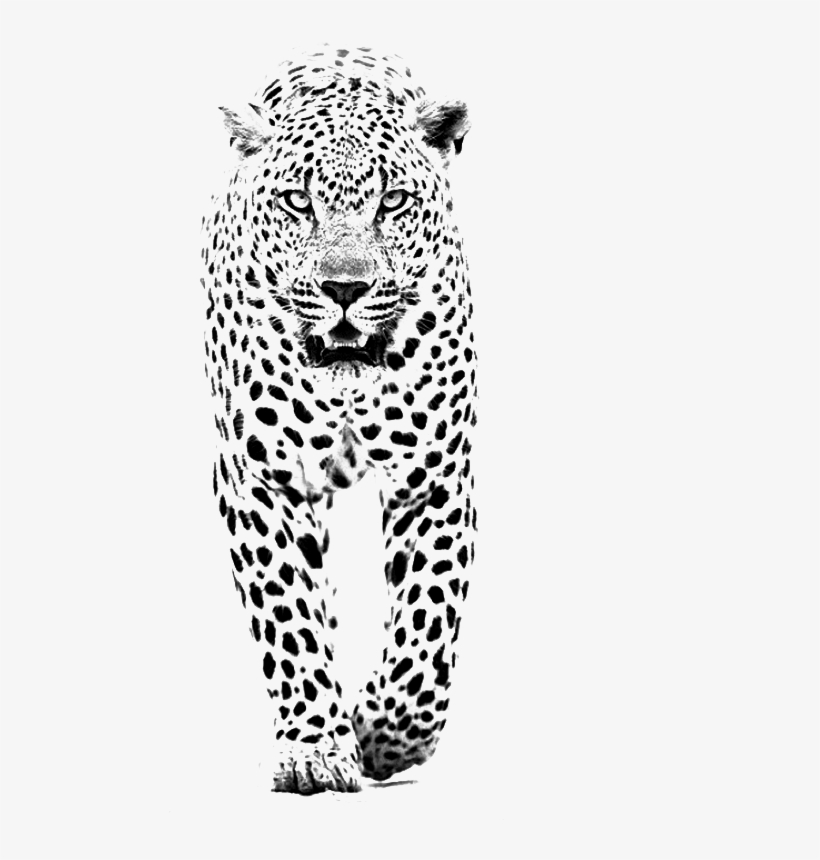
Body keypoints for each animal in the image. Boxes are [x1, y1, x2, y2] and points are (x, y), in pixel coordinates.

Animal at [201, 45, 476, 793]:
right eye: (299, 202)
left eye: (393, 202)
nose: (345, 289)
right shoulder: (261, 479)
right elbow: (288, 615)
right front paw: (317, 748)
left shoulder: (433, 477)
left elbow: (428, 627)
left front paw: (383, 734)